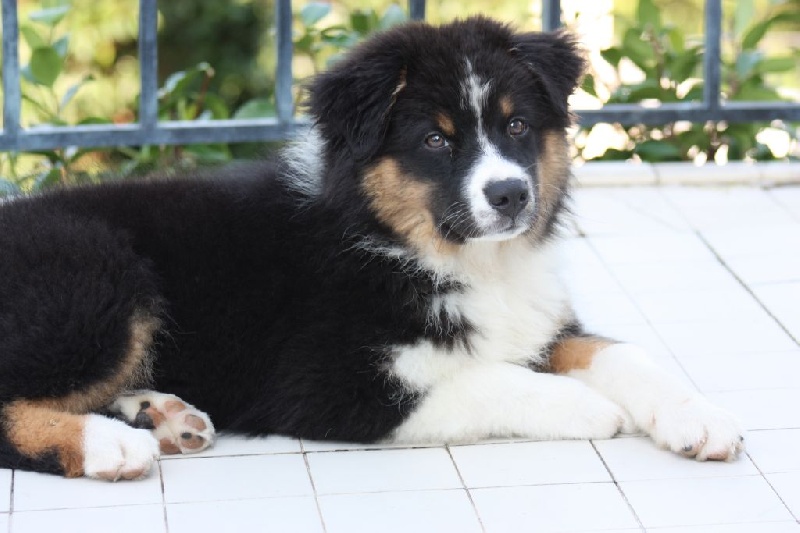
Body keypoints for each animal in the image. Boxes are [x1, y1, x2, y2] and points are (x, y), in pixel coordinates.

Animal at [0, 17, 743, 481]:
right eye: (436, 140)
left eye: (517, 126)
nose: (509, 195)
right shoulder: (324, 381)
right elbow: (483, 380)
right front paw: (585, 406)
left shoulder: (536, 321)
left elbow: (618, 353)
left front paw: (701, 418)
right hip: (99, 280)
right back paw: (112, 443)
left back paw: (161, 414)